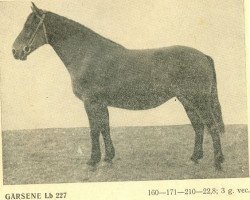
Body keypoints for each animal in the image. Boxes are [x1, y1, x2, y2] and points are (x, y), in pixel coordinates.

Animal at [12, 2, 225, 170]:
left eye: (30, 26)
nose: (15, 51)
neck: (87, 54)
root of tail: (203, 56)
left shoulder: (91, 102)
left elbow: (94, 130)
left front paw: (92, 161)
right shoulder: (101, 104)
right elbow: (105, 128)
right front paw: (108, 158)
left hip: (199, 100)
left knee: (212, 126)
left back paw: (218, 162)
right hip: (187, 100)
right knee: (199, 127)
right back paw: (194, 158)